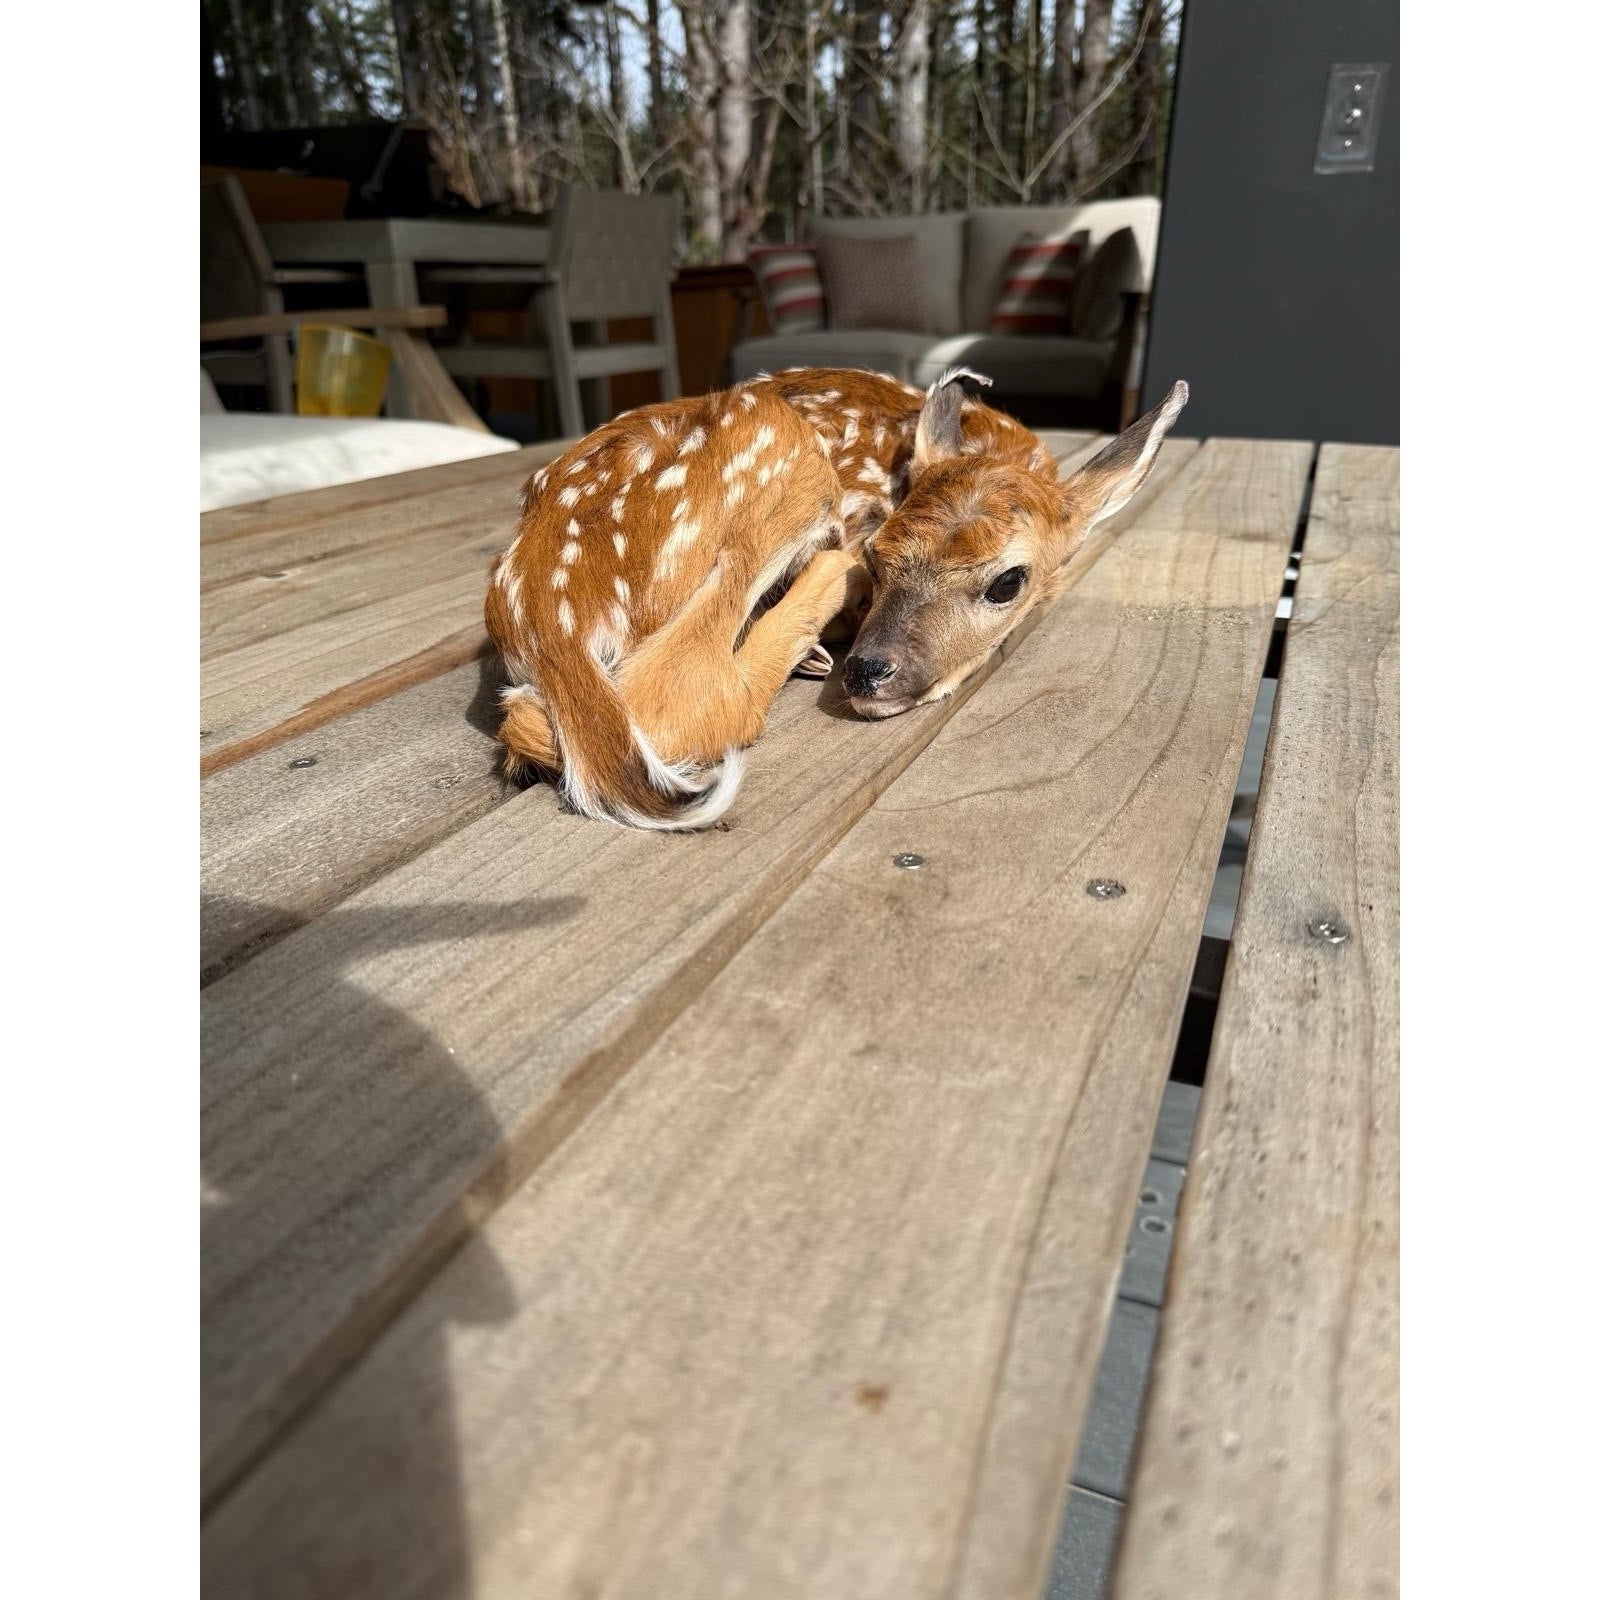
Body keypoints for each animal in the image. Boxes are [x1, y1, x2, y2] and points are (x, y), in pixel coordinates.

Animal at [484, 367, 1187, 829]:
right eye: (879, 555)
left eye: (1007, 582)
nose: (870, 671)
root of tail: (545, 617)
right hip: (778, 445)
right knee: (689, 690)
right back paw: (820, 597)